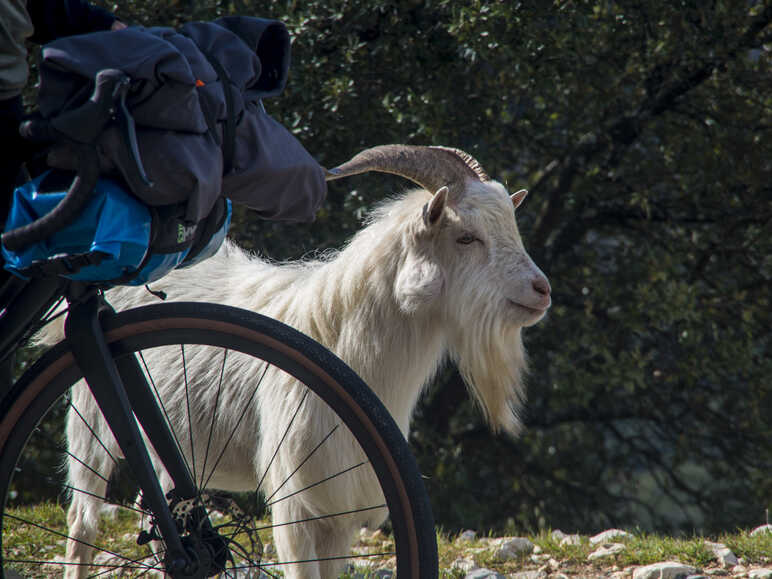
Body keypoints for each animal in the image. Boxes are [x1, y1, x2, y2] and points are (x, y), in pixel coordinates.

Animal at [58, 144, 548, 576]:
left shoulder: (340, 509)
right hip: (91, 419)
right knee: (83, 522)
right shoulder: (297, 502)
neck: (339, 341)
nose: (541, 290)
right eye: (466, 236)